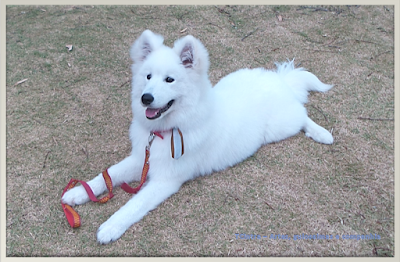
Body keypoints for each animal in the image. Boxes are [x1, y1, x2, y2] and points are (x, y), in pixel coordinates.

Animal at [61, 29, 332, 244]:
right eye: (148, 76)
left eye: (169, 80)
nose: (146, 98)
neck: (166, 131)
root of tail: (279, 80)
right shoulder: (141, 158)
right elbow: (108, 174)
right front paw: (79, 193)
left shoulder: (166, 179)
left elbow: (134, 204)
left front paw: (110, 226)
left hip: (281, 126)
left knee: (302, 114)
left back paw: (322, 133)